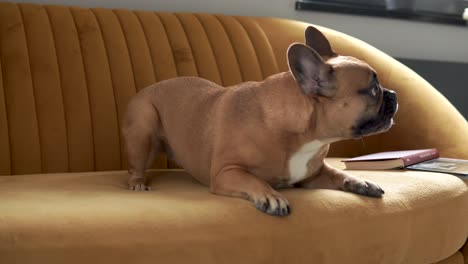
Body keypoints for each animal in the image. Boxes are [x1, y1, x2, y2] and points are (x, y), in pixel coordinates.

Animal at [121, 26, 398, 217]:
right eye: (373, 90)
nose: (394, 94)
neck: (306, 136)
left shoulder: (312, 175)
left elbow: (338, 173)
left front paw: (360, 181)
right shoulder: (226, 172)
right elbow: (253, 180)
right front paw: (270, 196)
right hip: (143, 132)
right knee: (136, 167)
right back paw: (137, 185)